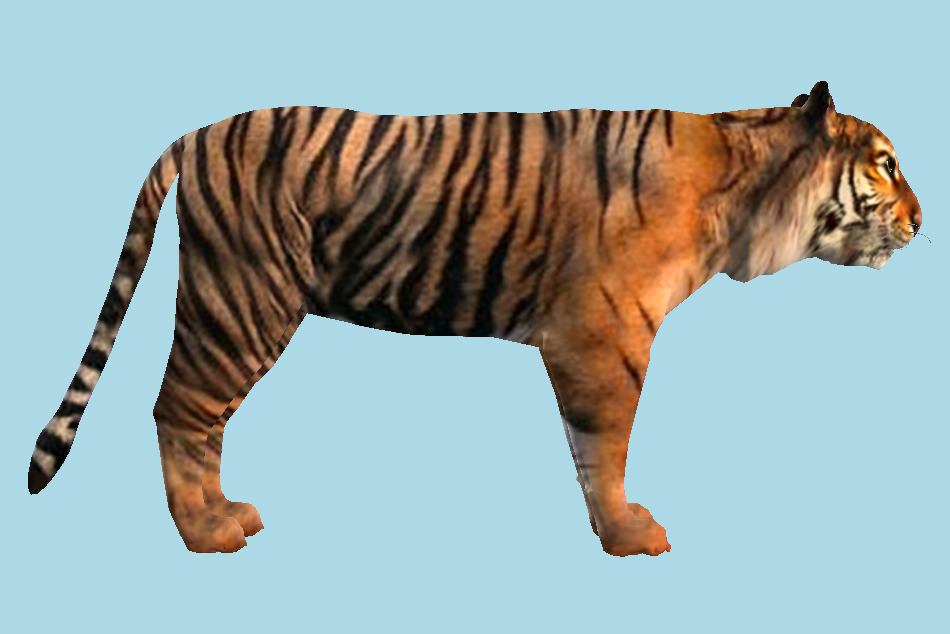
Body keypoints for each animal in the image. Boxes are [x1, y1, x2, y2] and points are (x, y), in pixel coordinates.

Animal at [27, 81, 922, 556]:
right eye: (885, 163)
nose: (922, 219)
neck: (747, 193)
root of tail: (195, 133)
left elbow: (590, 448)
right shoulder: (606, 335)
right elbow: (607, 445)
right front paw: (627, 532)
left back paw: (222, 516)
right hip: (243, 298)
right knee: (178, 409)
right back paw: (208, 532)